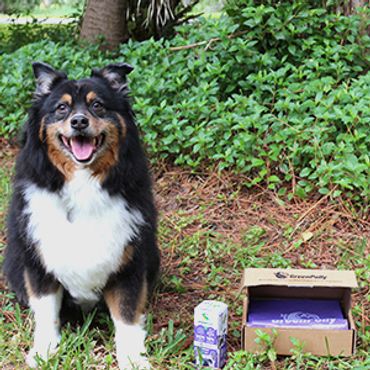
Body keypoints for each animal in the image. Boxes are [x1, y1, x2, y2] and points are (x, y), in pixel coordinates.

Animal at [3, 62, 159, 368]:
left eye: (97, 105)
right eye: (61, 108)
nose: (78, 122)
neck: (82, 183)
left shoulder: (130, 262)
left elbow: (127, 315)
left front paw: (132, 358)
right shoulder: (38, 262)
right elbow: (46, 310)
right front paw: (44, 350)